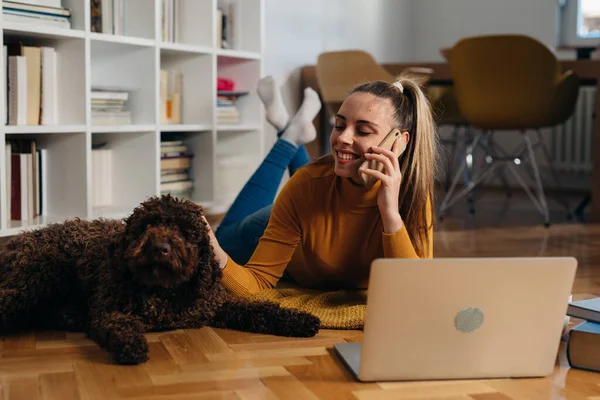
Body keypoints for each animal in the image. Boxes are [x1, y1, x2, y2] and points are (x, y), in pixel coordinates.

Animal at [0, 195, 318, 366]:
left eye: (185, 231)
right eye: (147, 225)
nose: (160, 248)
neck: (165, 293)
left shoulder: (215, 305)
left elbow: (260, 309)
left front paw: (299, 319)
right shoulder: (110, 312)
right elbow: (120, 326)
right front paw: (132, 345)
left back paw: (69, 315)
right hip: (35, 278)